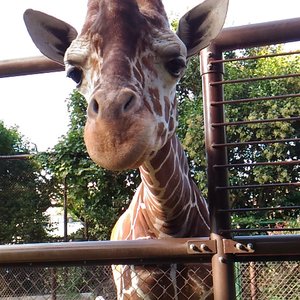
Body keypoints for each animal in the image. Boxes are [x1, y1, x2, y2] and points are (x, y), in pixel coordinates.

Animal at [24, 1, 229, 298]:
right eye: (74, 73)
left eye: (177, 63)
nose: (113, 139)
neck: (169, 223)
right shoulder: (132, 292)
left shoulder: (207, 289)